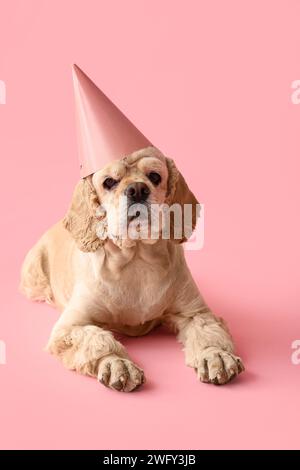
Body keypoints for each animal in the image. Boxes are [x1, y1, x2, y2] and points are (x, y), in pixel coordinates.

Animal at [19, 146, 244, 390]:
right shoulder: (70, 327)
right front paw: (117, 364)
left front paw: (216, 356)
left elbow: (208, 333)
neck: (136, 257)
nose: (137, 190)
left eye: (155, 176)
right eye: (109, 182)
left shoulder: (195, 312)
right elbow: (97, 340)